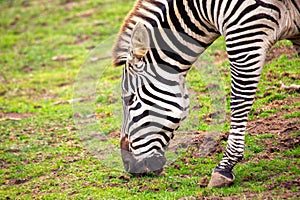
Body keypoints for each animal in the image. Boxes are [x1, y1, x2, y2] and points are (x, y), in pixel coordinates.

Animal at [112, 0, 300, 188]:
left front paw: (224, 167)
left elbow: (239, 100)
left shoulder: (245, 34)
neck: (206, 7)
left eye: (128, 99)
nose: (128, 166)